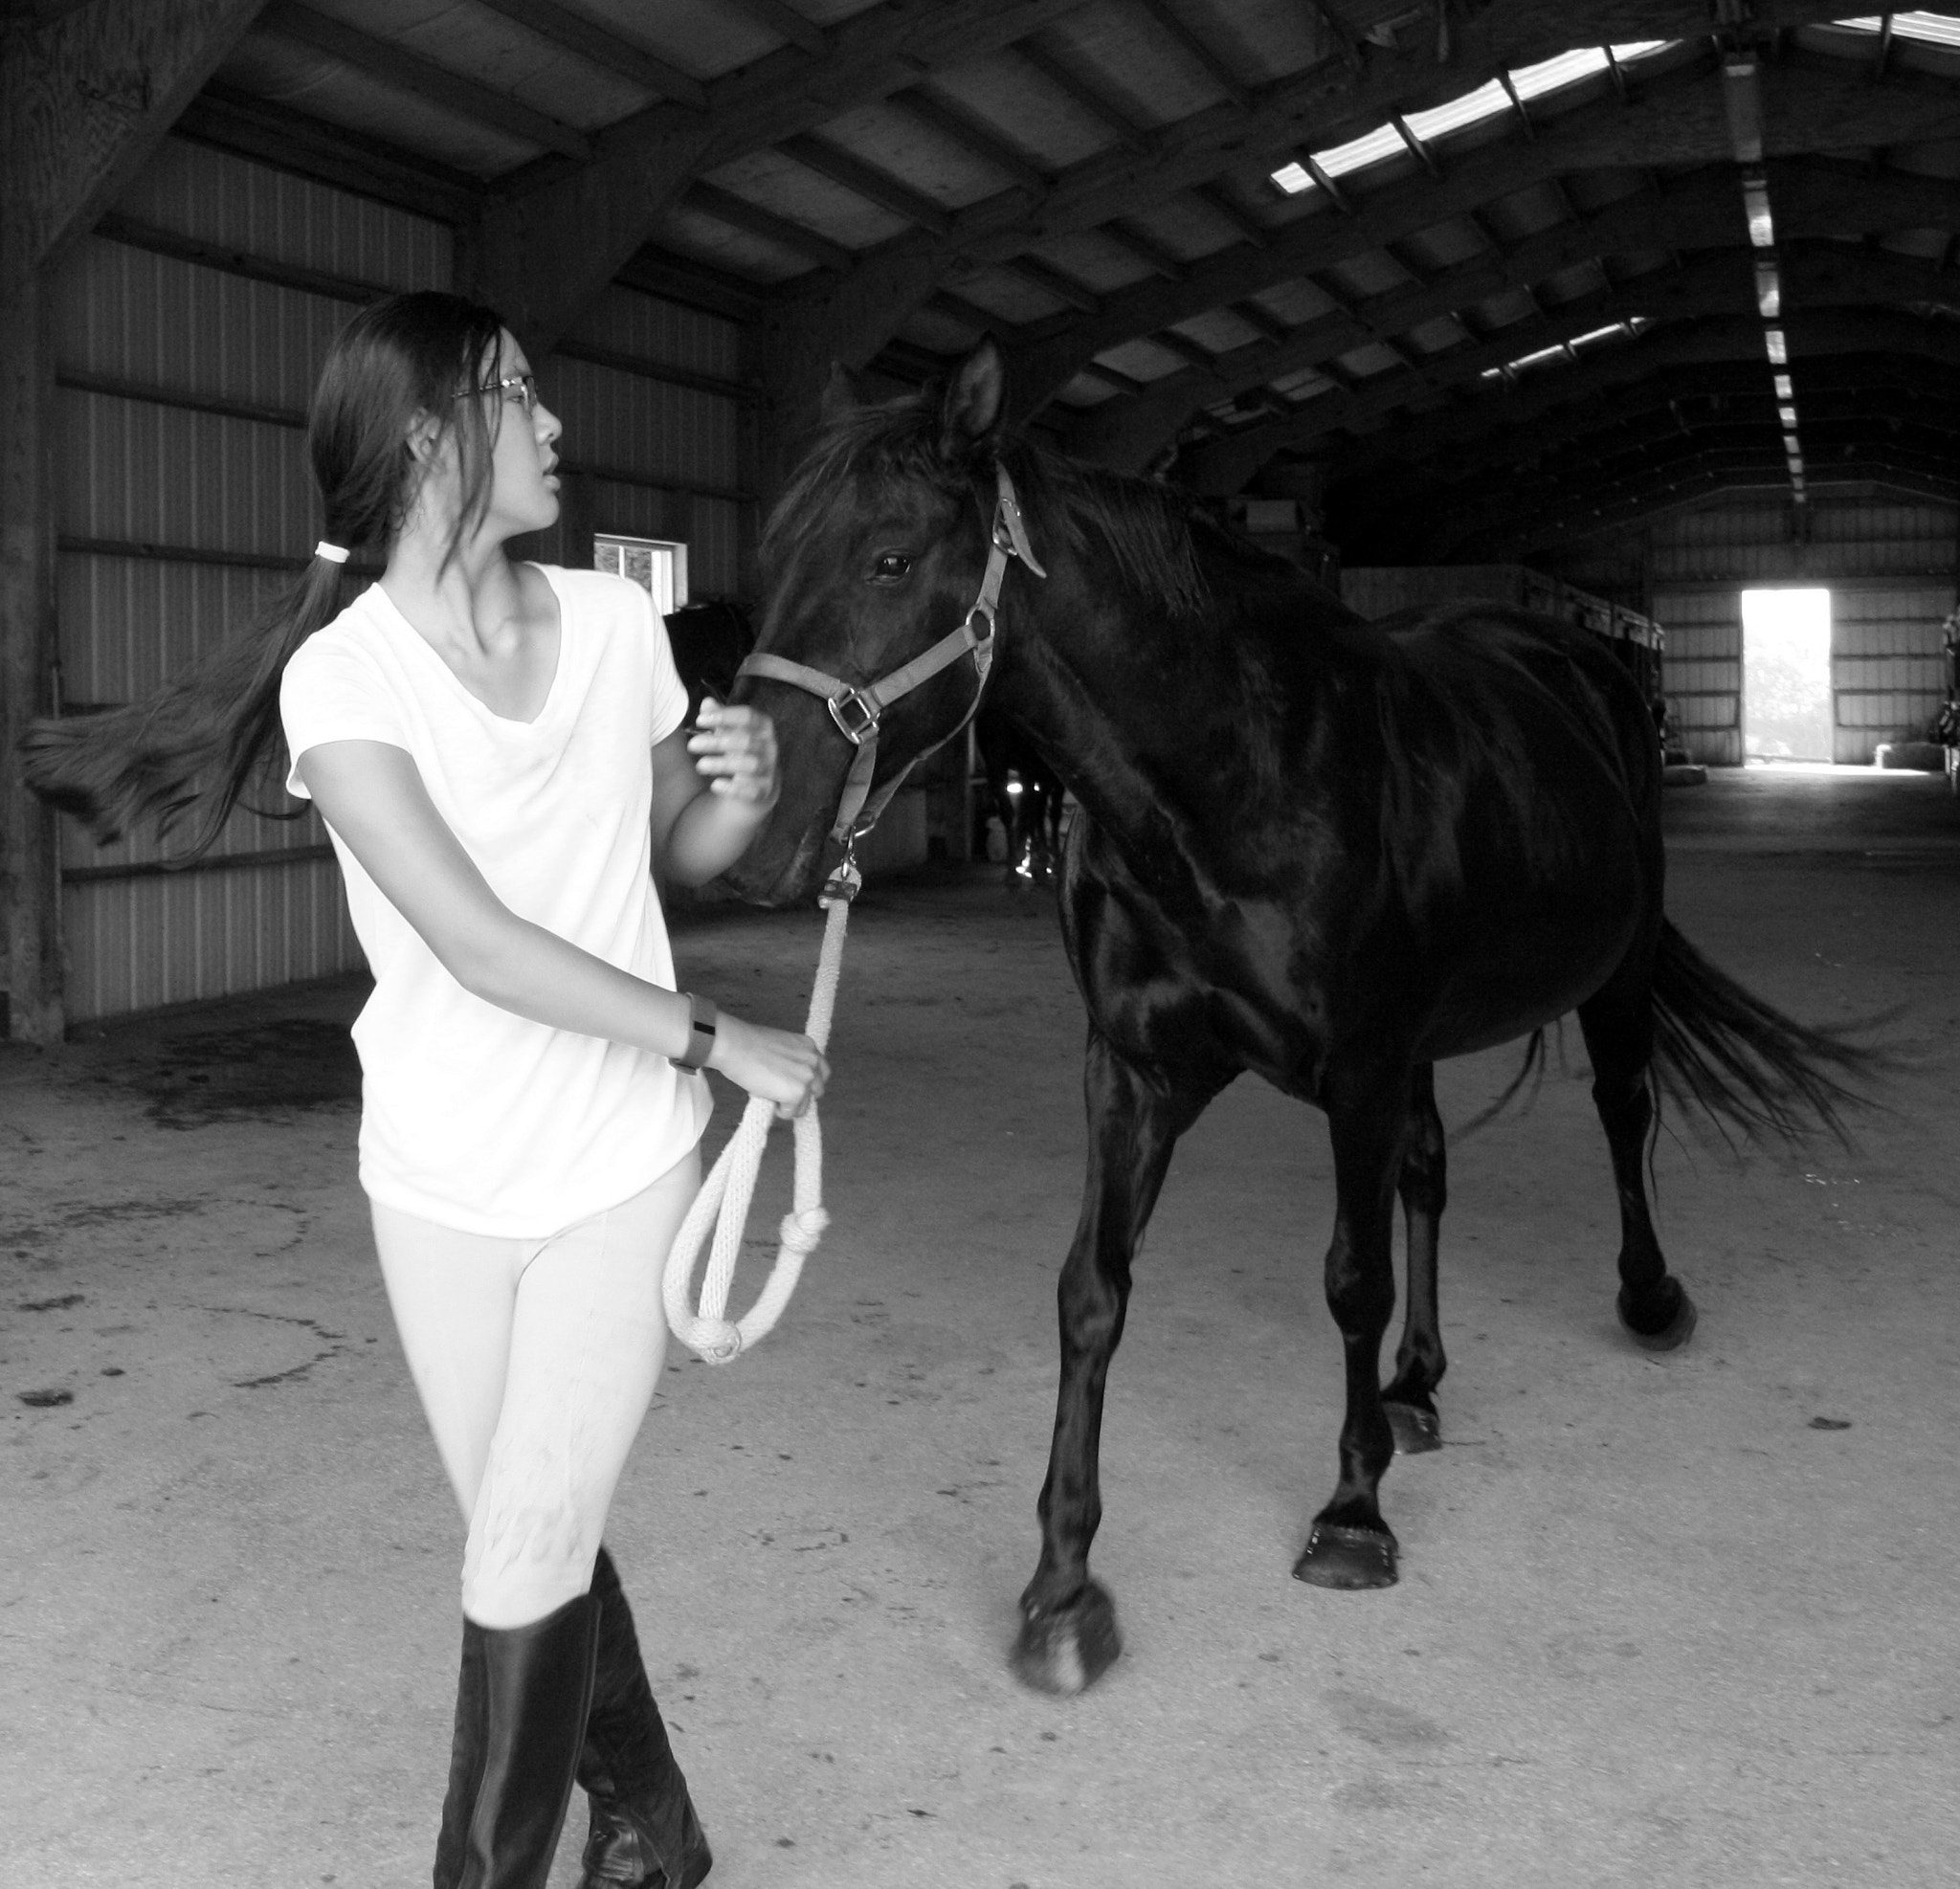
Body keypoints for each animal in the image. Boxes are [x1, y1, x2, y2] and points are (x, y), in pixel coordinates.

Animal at [723, 339, 1870, 1696]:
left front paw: (1350, 1518)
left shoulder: (1358, 1071)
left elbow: (1348, 1279)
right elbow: (1091, 1292)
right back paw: (1416, 1387)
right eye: (773, 559)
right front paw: (1062, 1591)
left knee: (1619, 1111)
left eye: (891, 559)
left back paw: (1646, 1302)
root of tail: (1576, 658)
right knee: (1430, 1171)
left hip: (1615, 971)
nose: (752, 828)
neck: (1234, 784)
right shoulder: (1133, 1073)